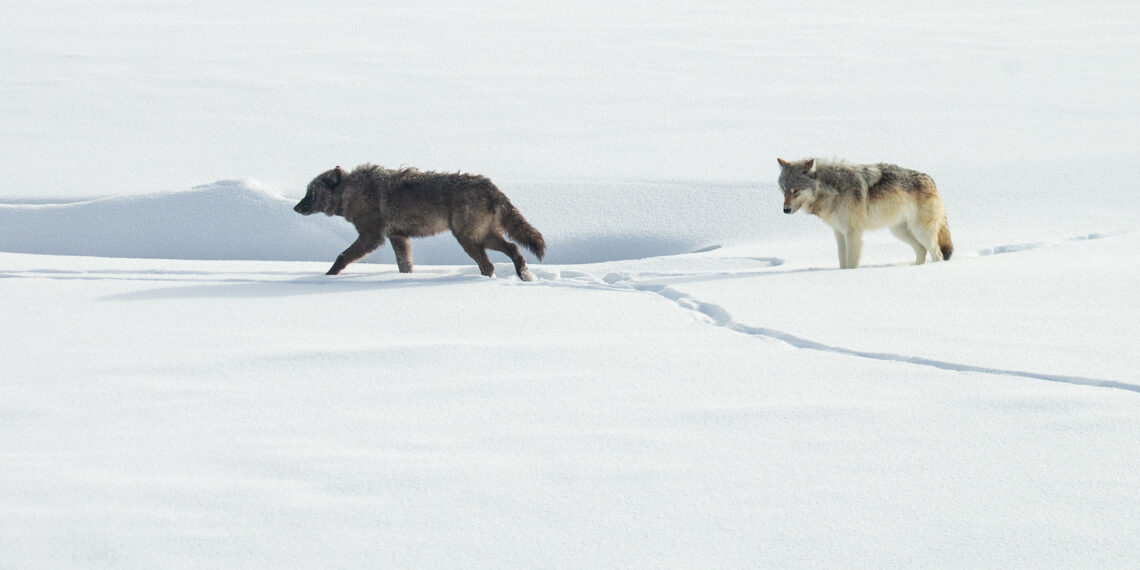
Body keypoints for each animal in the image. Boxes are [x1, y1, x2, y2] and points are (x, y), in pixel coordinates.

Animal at [294, 164, 546, 280]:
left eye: (311, 195)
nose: (295, 208)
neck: (350, 192)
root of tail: (490, 186)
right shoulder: (398, 237)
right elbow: (404, 265)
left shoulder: (371, 237)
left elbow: (342, 256)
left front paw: (327, 277)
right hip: (484, 237)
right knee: (513, 250)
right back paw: (524, 276)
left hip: (469, 239)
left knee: (489, 265)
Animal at [777, 158, 953, 269]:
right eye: (784, 190)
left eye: (796, 190)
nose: (785, 210)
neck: (832, 190)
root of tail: (931, 180)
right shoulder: (839, 232)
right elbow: (842, 260)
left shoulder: (853, 234)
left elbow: (851, 263)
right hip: (899, 231)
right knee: (921, 250)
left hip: (921, 232)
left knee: (937, 253)